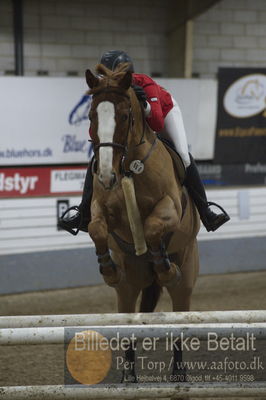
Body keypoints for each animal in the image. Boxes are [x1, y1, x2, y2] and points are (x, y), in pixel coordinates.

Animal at [85, 64, 200, 382]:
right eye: (91, 115)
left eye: (125, 116)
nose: (106, 175)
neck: (127, 166)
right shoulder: (102, 208)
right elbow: (96, 227)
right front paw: (108, 269)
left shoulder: (170, 206)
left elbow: (151, 227)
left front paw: (165, 265)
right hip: (131, 285)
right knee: (130, 321)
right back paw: (129, 376)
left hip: (187, 277)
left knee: (179, 318)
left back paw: (178, 373)